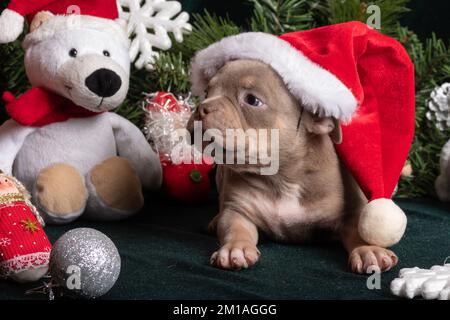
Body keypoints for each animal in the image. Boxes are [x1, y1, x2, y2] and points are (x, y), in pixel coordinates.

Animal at [188, 58, 400, 274]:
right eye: (206, 92)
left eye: (252, 100)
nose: (200, 108)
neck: (282, 177)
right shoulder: (238, 210)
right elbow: (235, 228)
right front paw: (235, 248)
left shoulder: (351, 211)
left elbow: (359, 230)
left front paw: (368, 250)